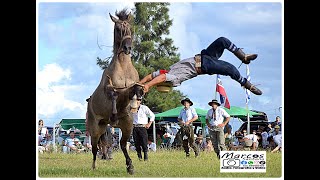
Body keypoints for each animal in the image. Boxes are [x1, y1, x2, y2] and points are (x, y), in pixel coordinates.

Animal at [87, 9, 143, 174]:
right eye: (118, 29)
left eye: (129, 28)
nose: (127, 48)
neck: (123, 66)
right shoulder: (109, 88)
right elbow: (113, 94)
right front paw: (113, 116)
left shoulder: (129, 89)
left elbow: (134, 89)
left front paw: (136, 101)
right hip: (95, 129)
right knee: (94, 148)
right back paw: (93, 167)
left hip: (127, 125)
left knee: (123, 145)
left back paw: (130, 166)